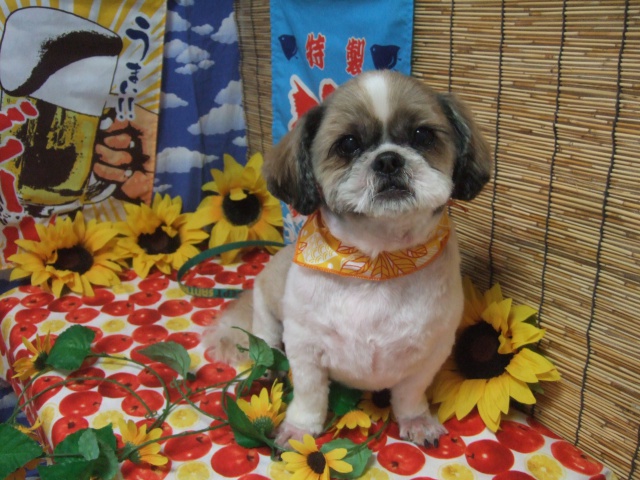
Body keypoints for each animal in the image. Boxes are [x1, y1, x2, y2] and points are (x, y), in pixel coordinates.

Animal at [205, 70, 491, 447]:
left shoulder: (434, 350)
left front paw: (416, 420)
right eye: (348, 143)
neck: (376, 262)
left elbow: (411, 392)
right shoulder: (305, 346)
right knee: (265, 342)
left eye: (423, 135)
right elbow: (310, 394)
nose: (388, 160)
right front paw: (299, 429)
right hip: (266, 307)